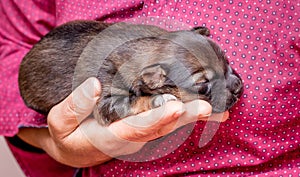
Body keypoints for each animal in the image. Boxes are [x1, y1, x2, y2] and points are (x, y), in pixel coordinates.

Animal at [18, 20, 244, 125]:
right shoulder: (107, 102)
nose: (238, 87)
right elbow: (134, 101)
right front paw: (160, 99)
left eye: (227, 63)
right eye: (202, 84)